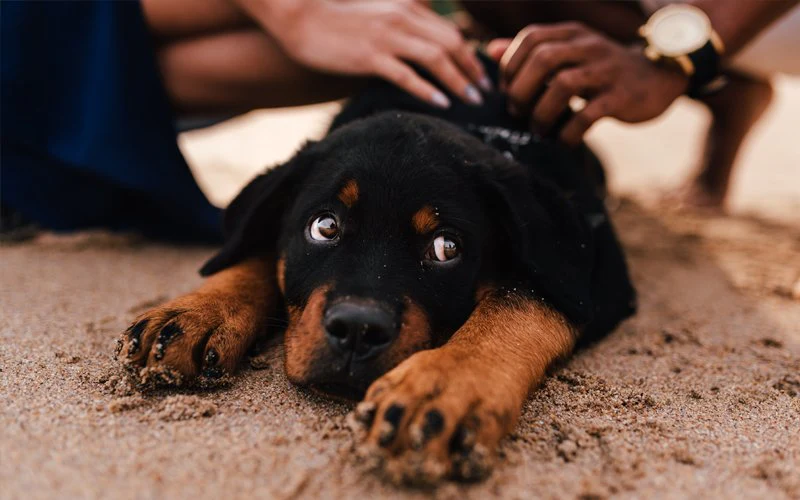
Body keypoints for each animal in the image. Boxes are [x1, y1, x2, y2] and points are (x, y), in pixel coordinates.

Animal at [115, 60, 636, 482]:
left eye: (446, 247)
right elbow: (260, 252)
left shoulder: (594, 270)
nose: (358, 330)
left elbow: (520, 297)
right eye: (324, 226)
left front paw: (442, 388)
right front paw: (196, 313)